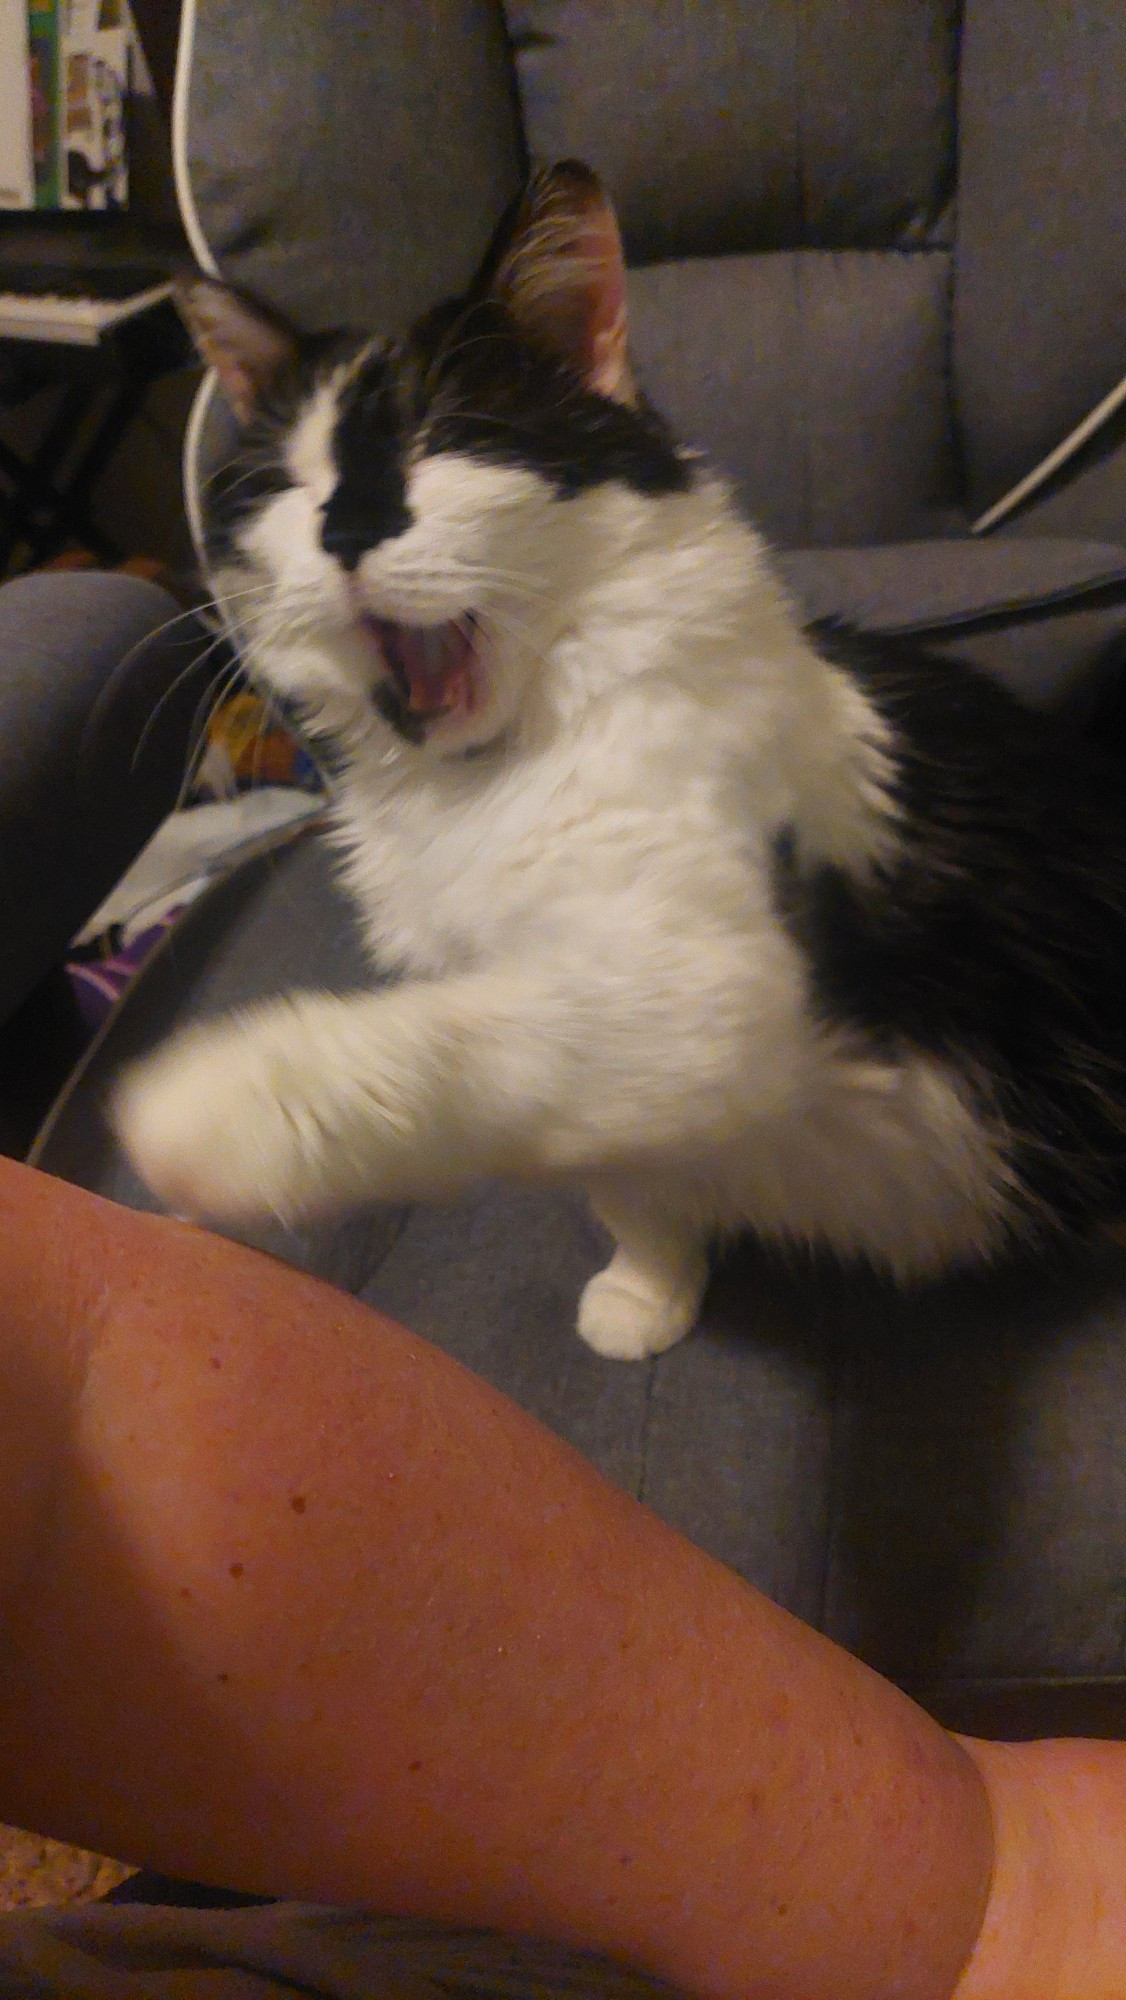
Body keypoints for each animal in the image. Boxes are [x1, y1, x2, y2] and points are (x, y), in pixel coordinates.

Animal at [115, 160, 1126, 1361]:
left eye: (448, 441)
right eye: (289, 483)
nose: (346, 530)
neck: (484, 780)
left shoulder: (699, 985)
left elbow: (457, 1042)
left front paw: (222, 1107)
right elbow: (622, 1174)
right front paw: (650, 1286)